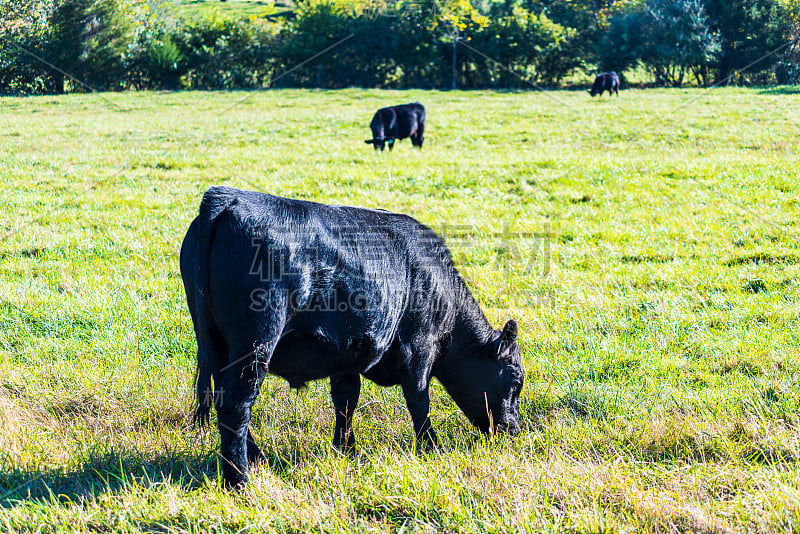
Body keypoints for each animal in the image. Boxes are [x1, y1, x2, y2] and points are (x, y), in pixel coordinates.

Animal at [184, 185, 528, 490]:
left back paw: (257, 459)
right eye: (515, 380)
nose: (513, 429)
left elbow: (346, 401)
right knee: (236, 403)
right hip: (256, 343)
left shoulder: (346, 354)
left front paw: (344, 449)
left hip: (218, 346)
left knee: (225, 400)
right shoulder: (419, 349)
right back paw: (239, 480)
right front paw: (430, 447)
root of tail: (228, 197)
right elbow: (419, 401)